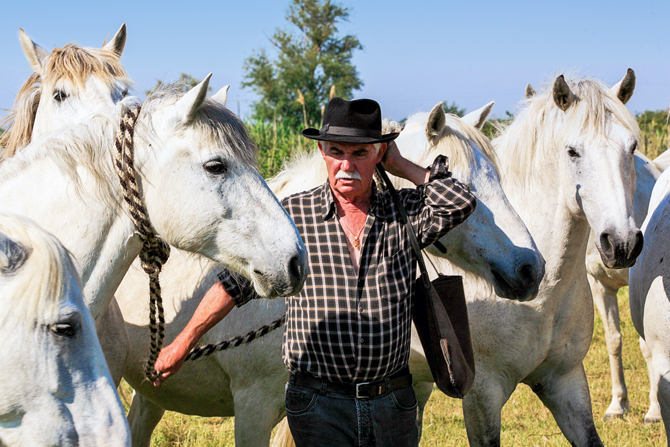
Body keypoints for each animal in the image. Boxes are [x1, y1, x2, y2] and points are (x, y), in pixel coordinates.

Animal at [411, 71, 641, 447]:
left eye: (632, 147)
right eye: (572, 151)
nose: (621, 243)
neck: (543, 297)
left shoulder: (566, 382)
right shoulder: (483, 395)